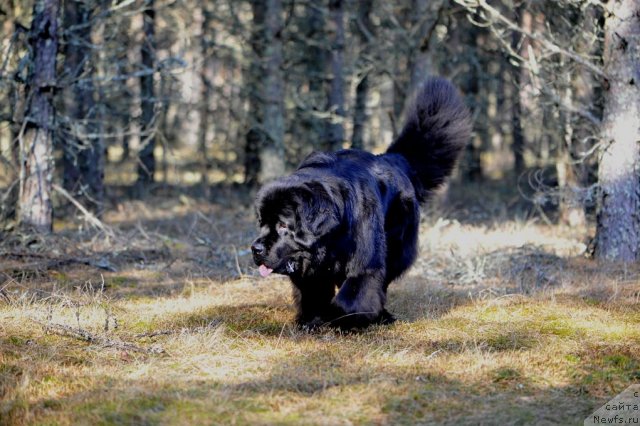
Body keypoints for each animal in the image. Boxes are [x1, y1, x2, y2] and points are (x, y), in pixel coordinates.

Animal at [252, 77, 472, 330]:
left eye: (283, 226)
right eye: (262, 224)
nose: (255, 248)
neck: (332, 237)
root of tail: (395, 158)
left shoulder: (364, 263)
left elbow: (352, 296)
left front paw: (340, 317)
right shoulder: (311, 269)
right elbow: (314, 292)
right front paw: (312, 320)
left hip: (396, 245)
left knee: (384, 280)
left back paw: (382, 315)